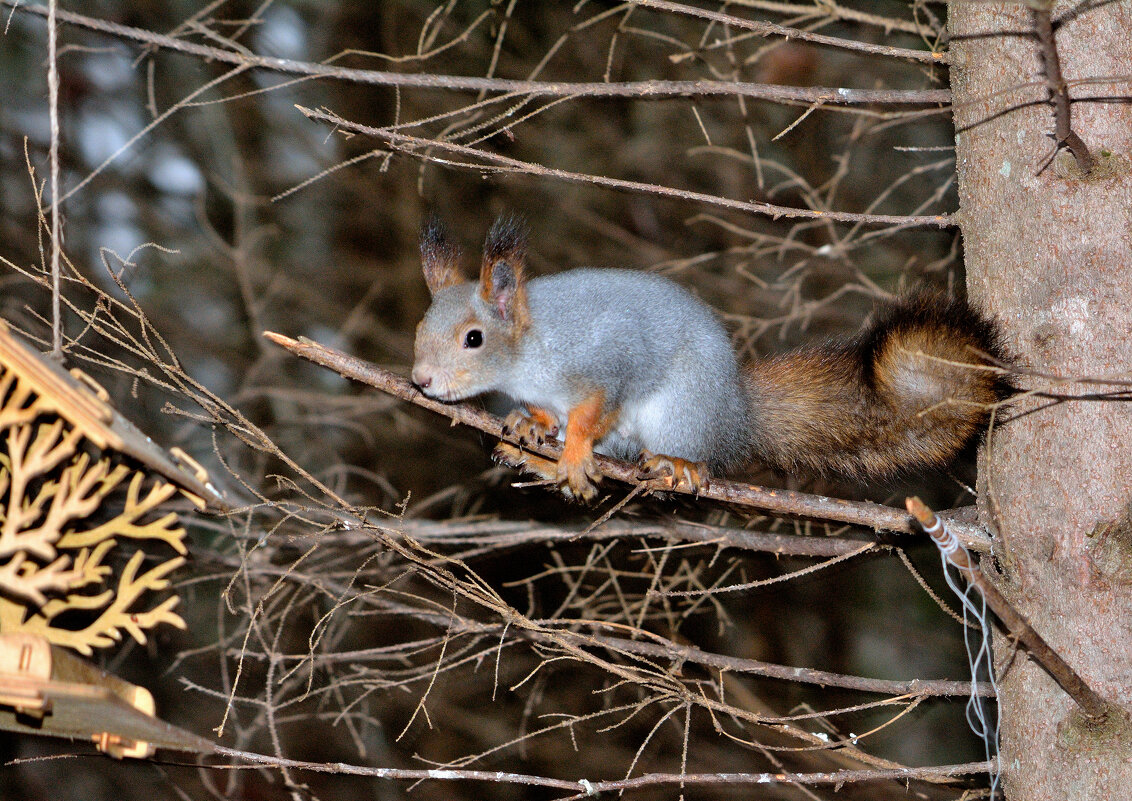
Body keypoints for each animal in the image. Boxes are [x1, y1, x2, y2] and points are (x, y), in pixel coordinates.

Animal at [412, 212, 1014, 500]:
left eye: (473, 339)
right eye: (420, 327)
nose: (421, 380)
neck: (529, 352)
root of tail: (735, 416)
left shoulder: (607, 358)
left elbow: (593, 409)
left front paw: (575, 449)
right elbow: (546, 413)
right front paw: (529, 423)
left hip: (682, 412)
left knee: (693, 455)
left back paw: (678, 465)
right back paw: (535, 455)